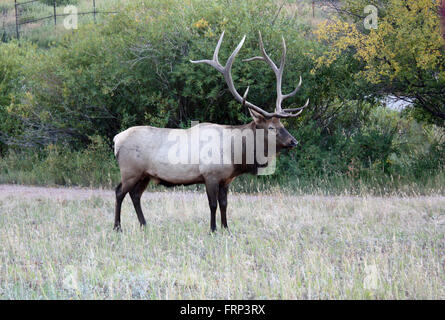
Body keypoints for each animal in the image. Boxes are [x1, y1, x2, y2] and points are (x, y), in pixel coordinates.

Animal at [113, 31, 308, 232]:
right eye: (271, 127)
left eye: (283, 125)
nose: (294, 141)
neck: (235, 156)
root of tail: (116, 140)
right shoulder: (210, 175)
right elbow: (212, 204)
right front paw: (213, 229)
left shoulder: (226, 179)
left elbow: (224, 204)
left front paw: (226, 228)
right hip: (130, 170)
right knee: (119, 192)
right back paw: (117, 227)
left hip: (145, 174)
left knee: (135, 195)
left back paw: (144, 224)